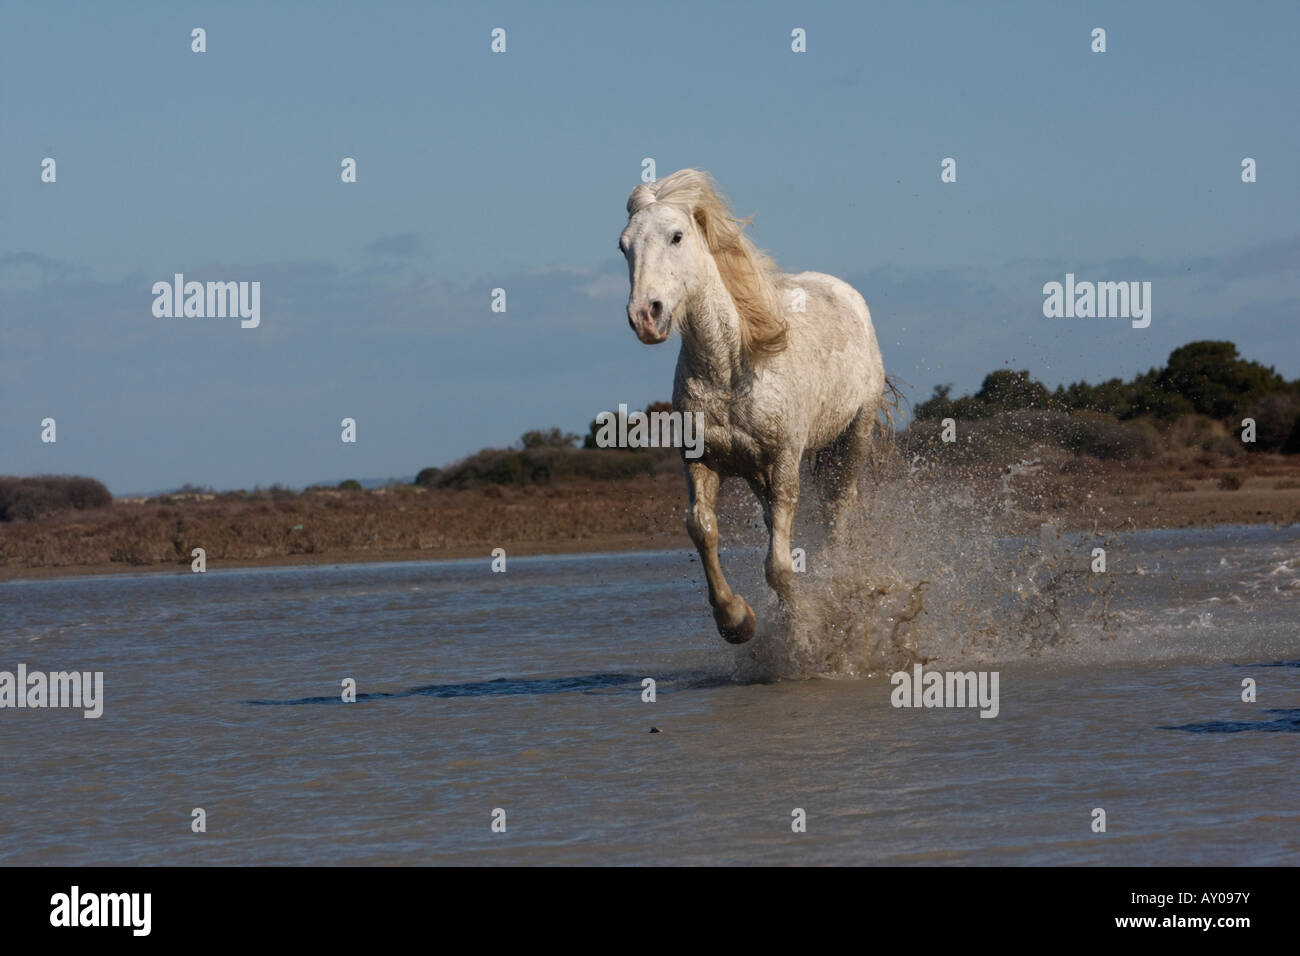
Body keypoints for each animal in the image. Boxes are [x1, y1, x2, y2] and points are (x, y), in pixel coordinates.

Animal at [616, 171, 883, 647]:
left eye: (676, 236)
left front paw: (803, 633)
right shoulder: (702, 461)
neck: (730, 370)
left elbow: (778, 566)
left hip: (853, 436)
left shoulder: (784, 463)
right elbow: (702, 528)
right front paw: (737, 621)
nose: (646, 316)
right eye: (623, 245)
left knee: (839, 511)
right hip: (760, 474)